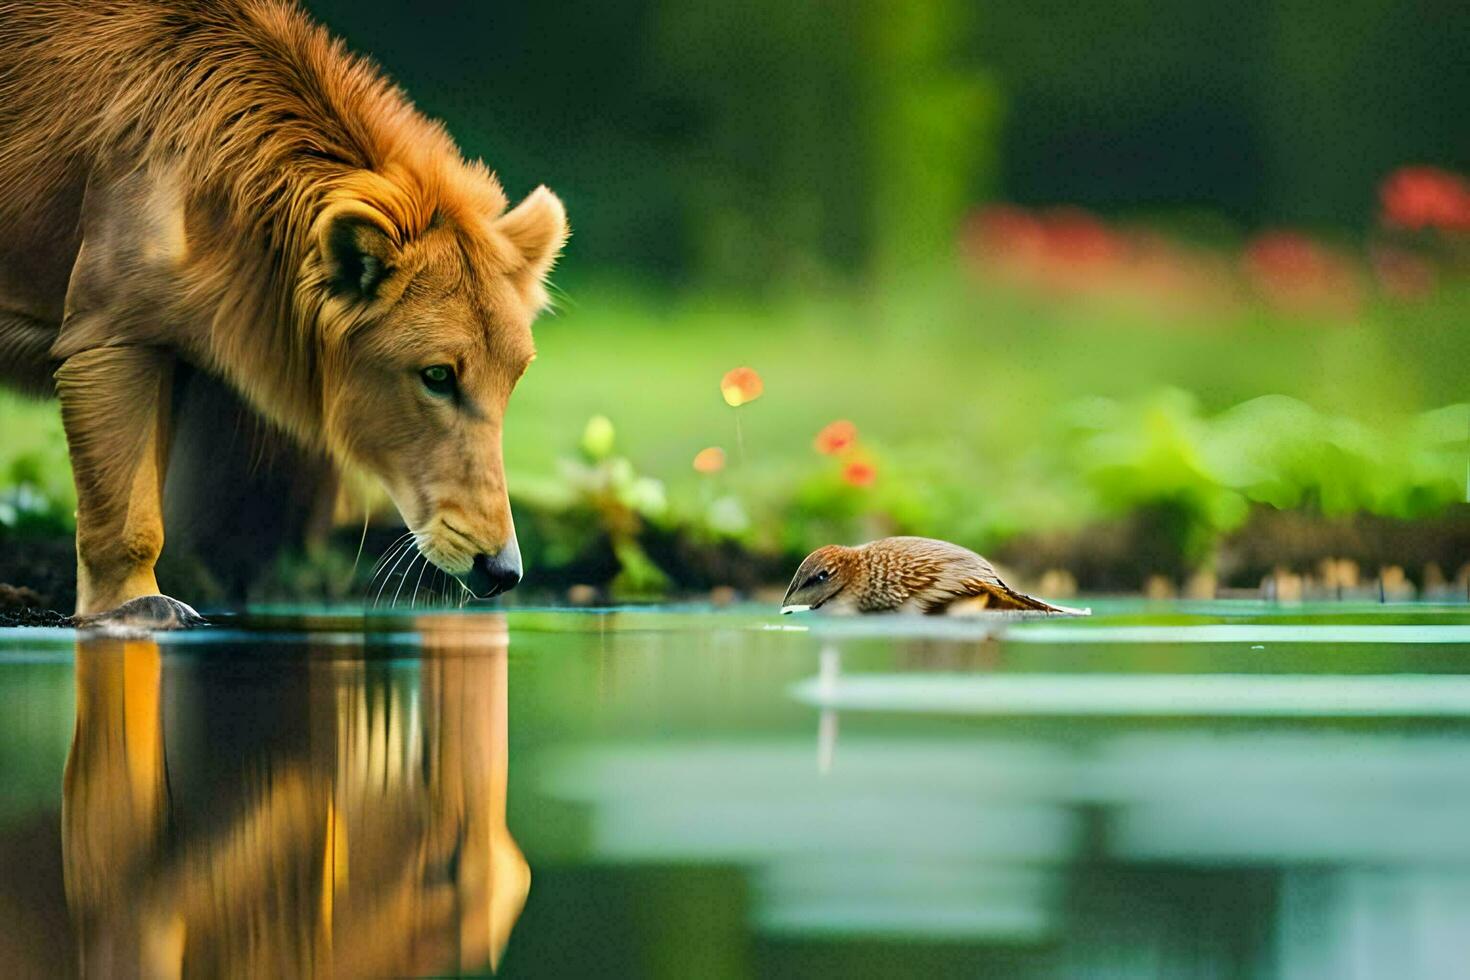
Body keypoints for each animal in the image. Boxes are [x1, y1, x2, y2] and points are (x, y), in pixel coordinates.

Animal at [0, 1, 567, 628]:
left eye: (512, 381)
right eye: (437, 376)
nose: (503, 572)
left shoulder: (174, 358)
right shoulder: (110, 333)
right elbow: (128, 515)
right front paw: (135, 609)